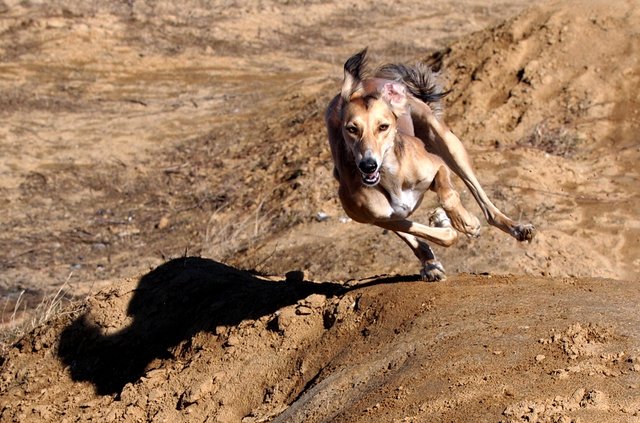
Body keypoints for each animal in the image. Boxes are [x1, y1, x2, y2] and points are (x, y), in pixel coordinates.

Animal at [324, 49, 536, 282]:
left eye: (383, 127)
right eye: (352, 129)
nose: (368, 165)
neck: (390, 179)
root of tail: (367, 82)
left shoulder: (437, 166)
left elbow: (448, 196)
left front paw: (466, 222)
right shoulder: (375, 217)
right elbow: (429, 234)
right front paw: (442, 228)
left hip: (447, 142)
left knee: (485, 203)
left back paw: (516, 227)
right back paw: (431, 264)